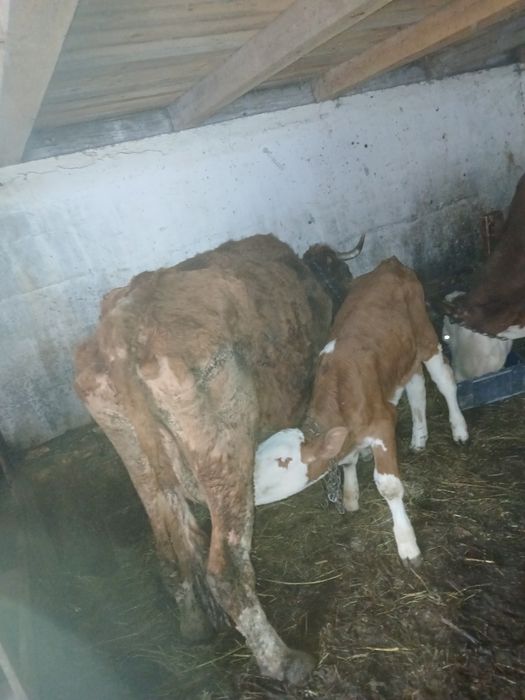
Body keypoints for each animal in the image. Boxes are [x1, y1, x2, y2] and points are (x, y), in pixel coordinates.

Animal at [74, 233, 364, 683]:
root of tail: (124, 329)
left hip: (133, 450)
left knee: (172, 554)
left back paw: (195, 626)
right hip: (224, 453)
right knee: (227, 570)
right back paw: (282, 661)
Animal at [255, 258, 469, 569]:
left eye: (282, 462)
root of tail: (390, 264)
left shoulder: (382, 424)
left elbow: (389, 487)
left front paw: (407, 545)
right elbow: (346, 461)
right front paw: (350, 495)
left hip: (426, 336)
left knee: (445, 382)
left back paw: (459, 430)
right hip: (403, 354)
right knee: (416, 386)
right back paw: (419, 438)